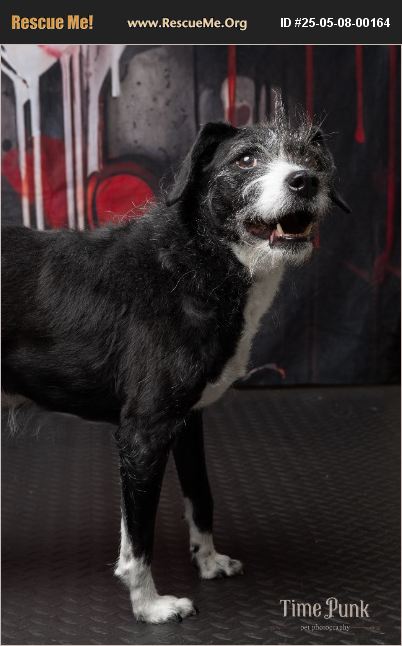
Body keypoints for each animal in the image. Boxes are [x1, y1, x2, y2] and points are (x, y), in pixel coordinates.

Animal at [1, 108, 350, 624]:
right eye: (246, 159)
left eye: (311, 156)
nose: (304, 181)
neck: (197, 261)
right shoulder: (143, 433)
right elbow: (138, 537)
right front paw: (149, 606)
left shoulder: (188, 421)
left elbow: (200, 495)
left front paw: (208, 561)